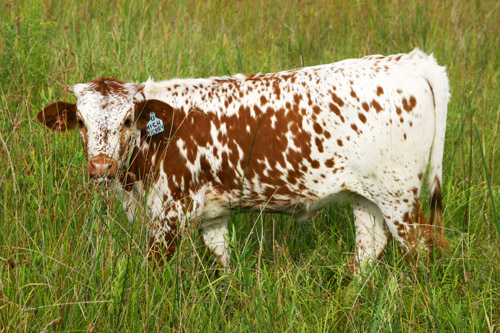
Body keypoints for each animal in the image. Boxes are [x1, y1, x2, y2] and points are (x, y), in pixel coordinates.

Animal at [36, 48, 450, 272]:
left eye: (126, 120)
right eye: (82, 122)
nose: (100, 167)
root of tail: (408, 61)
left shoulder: (171, 213)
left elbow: (154, 269)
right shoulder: (212, 216)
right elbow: (225, 265)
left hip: (398, 196)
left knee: (420, 250)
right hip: (366, 196)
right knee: (369, 248)